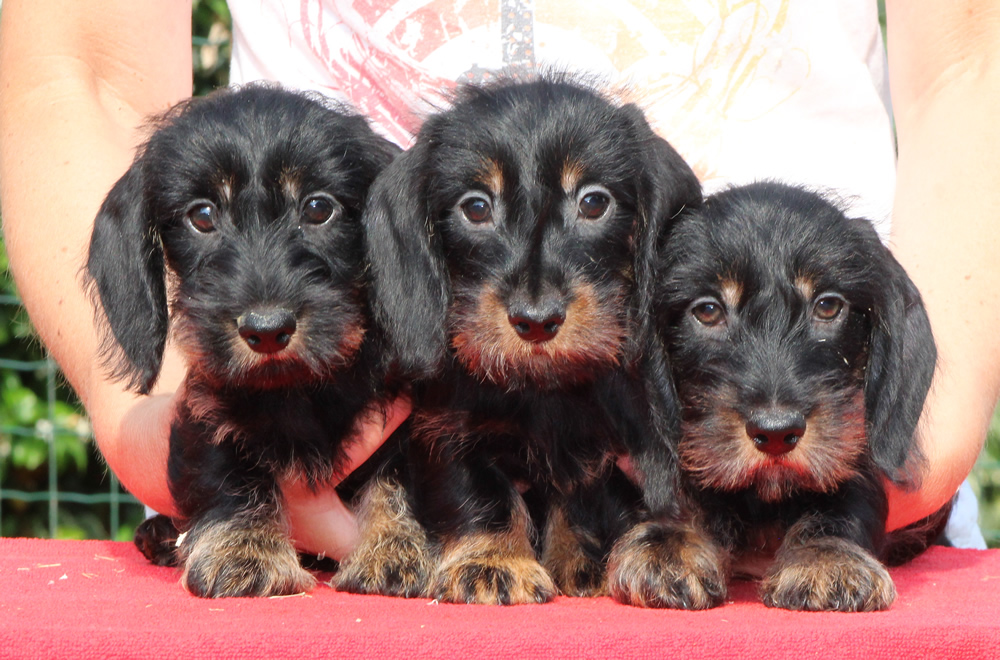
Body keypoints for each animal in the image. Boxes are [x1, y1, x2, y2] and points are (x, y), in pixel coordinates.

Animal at [85, 84, 398, 600]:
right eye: (202, 215)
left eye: (318, 208)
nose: (267, 330)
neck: (295, 390)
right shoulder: (207, 411)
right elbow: (228, 473)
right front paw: (245, 550)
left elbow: (400, 480)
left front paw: (395, 549)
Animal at [336, 73, 728, 608]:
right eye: (476, 207)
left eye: (594, 202)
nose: (537, 321)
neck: (540, 386)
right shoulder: (445, 428)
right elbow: (483, 493)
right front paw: (493, 560)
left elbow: (606, 495)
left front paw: (641, 554)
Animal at [656, 182, 936, 612]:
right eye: (707, 310)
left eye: (828, 305)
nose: (775, 433)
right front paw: (673, 543)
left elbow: (841, 499)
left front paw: (826, 557)